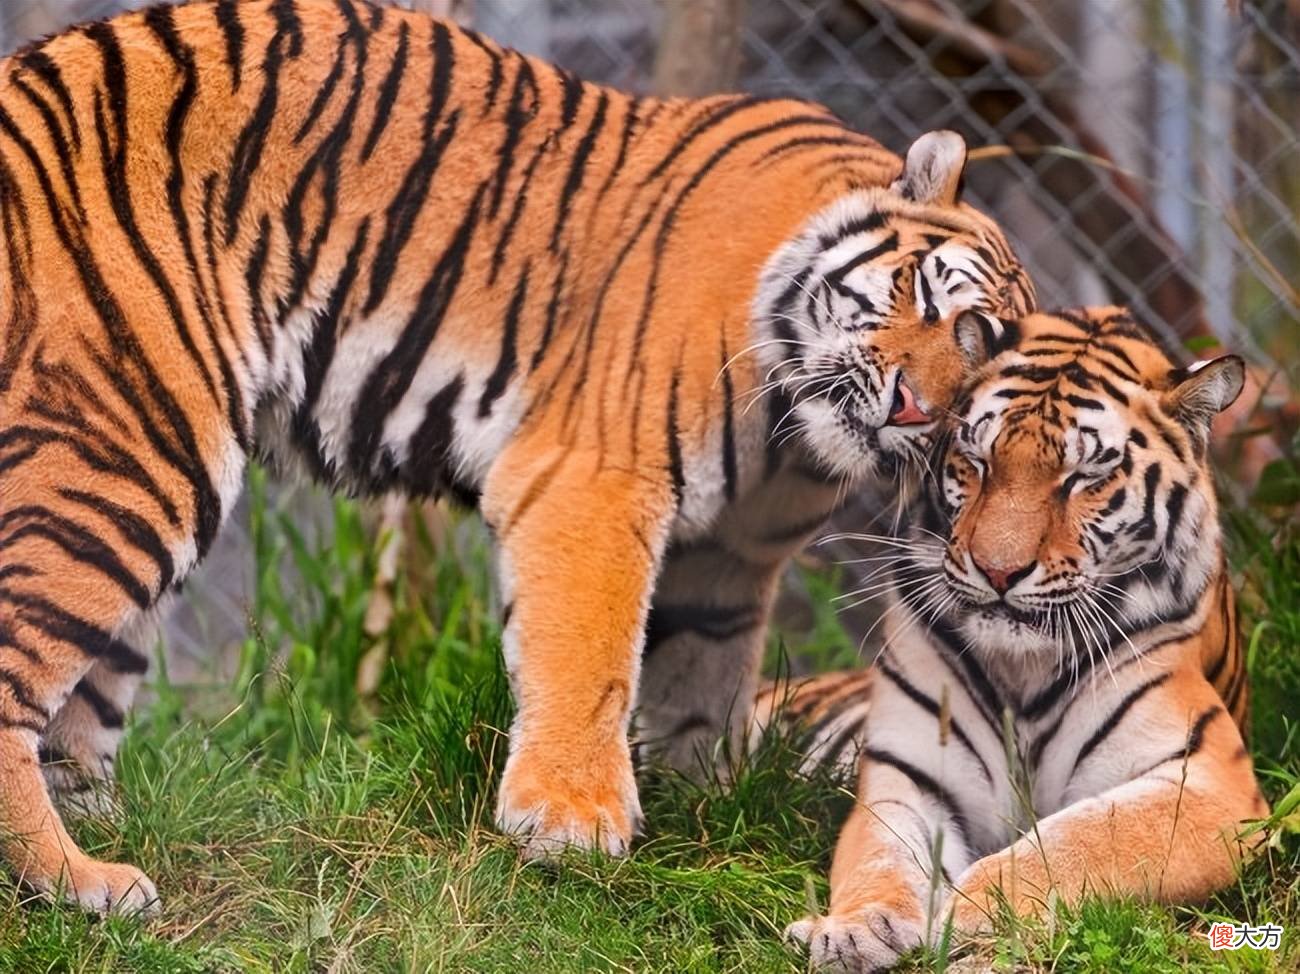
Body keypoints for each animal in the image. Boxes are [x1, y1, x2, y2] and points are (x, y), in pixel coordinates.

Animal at [0, 0, 1034, 913]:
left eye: (977, 376)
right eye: (932, 301)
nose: (912, 407)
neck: (790, 440)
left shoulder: (727, 562)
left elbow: (700, 684)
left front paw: (709, 814)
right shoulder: (594, 479)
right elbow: (592, 656)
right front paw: (571, 824)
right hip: (127, 446)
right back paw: (79, 883)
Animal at [774, 306, 1267, 971]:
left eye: (1083, 477)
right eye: (977, 460)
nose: (998, 571)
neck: (1022, 670)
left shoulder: (1210, 781)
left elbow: (1077, 841)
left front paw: (968, 913)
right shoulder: (908, 775)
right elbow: (881, 857)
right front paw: (854, 929)